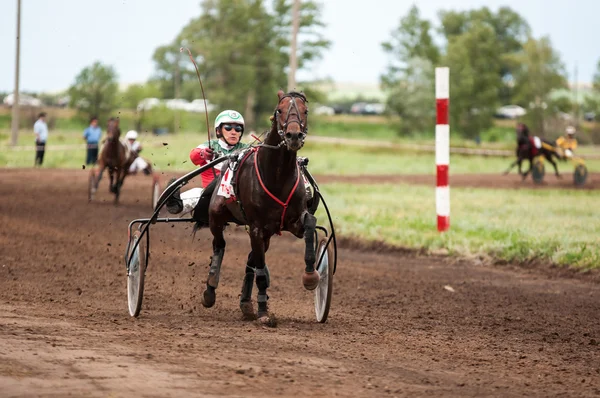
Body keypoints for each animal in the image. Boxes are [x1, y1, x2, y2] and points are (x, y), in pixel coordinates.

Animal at [198, 90, 316, 324]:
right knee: (219, 245)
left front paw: (310, 276)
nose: (294, 136)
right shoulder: (256, 227)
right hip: (216, 216)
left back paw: (246, 303)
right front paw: (263, 312)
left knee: (251, 260)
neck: (277, 176)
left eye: (305, 110)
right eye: (279, 110)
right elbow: (261, 271)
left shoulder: (293, 222)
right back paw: (211, 289)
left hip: (267, 234)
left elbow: (310, 224)